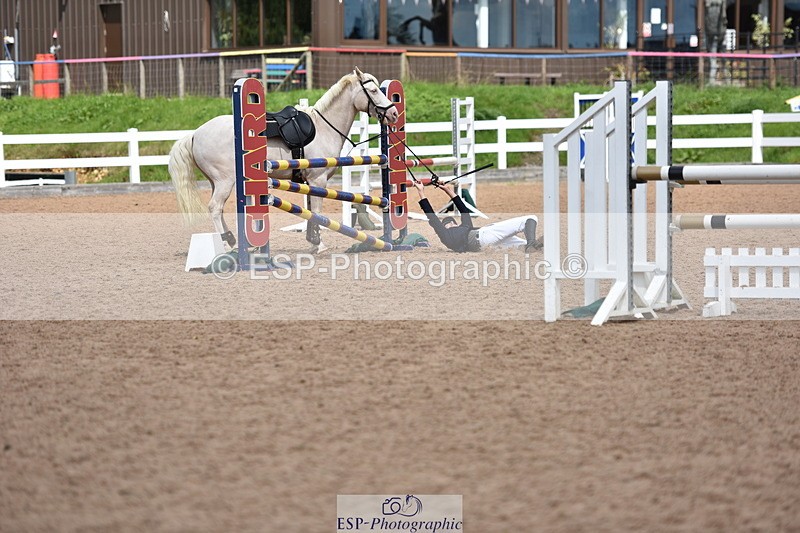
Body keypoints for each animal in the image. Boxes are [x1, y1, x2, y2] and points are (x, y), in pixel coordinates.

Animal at [168, 68, 399, 253]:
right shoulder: (318, 179)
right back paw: (227, 244)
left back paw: (235, 242)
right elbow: (317, 212)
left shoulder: (309, 182)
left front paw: (312, 241)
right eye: (374, 91)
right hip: (225, 181)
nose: (394, 113)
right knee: (215, 208)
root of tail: (195, 134)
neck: (323, 126)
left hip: (215, 182)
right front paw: (319, 244)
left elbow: (310, 212)